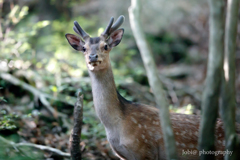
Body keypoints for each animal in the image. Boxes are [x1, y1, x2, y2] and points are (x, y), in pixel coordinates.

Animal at [65, 15, 232, 160]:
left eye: (105, 46)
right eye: (84, 48)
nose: (93, 57)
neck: (116, 126)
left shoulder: (145, 150)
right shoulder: (123, 156)